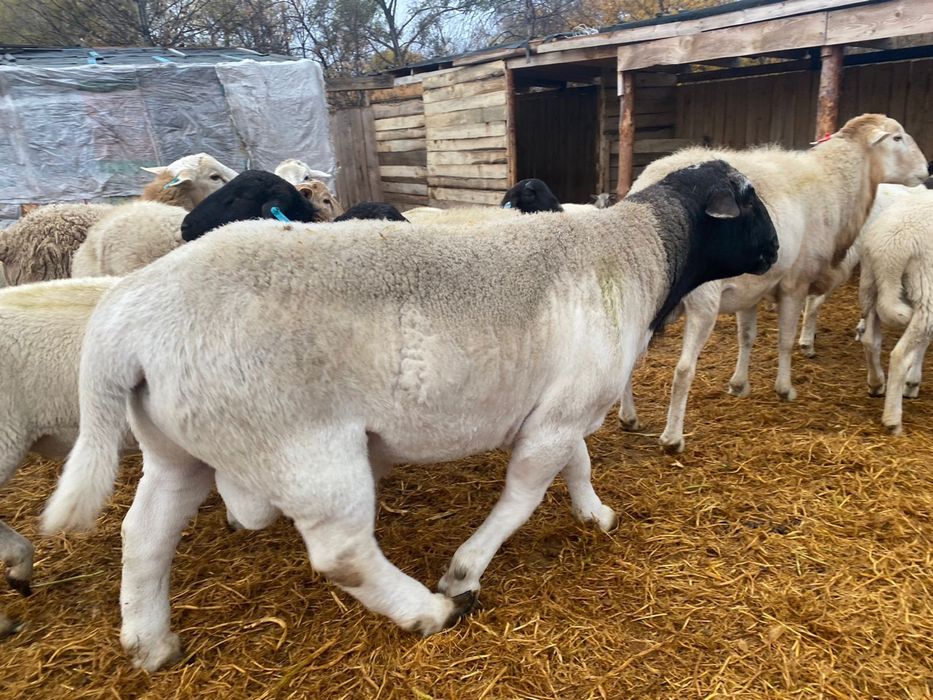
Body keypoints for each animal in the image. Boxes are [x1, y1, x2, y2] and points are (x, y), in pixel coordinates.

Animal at [858, 188, 933, 434]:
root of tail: (890, 250)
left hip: (871, 284)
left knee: (870, 340)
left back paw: (876, 383)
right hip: (925, 287)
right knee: (899, 355)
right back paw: (892, 420)